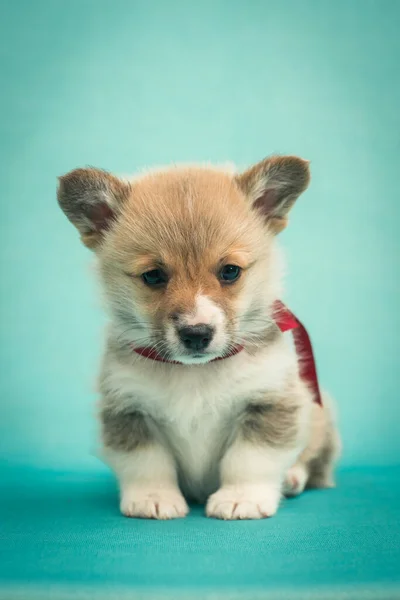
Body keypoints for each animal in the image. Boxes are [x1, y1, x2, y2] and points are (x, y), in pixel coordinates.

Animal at [57, 157, 340, 516]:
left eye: (230, 271)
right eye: (153, 276)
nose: (196, 334)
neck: (195, 371)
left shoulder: (269, 401)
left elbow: (249, 459)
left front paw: (241, 498)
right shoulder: (128, 409)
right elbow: (147, 462)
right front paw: (153, 498)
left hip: (319, 413)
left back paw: (291, 478)